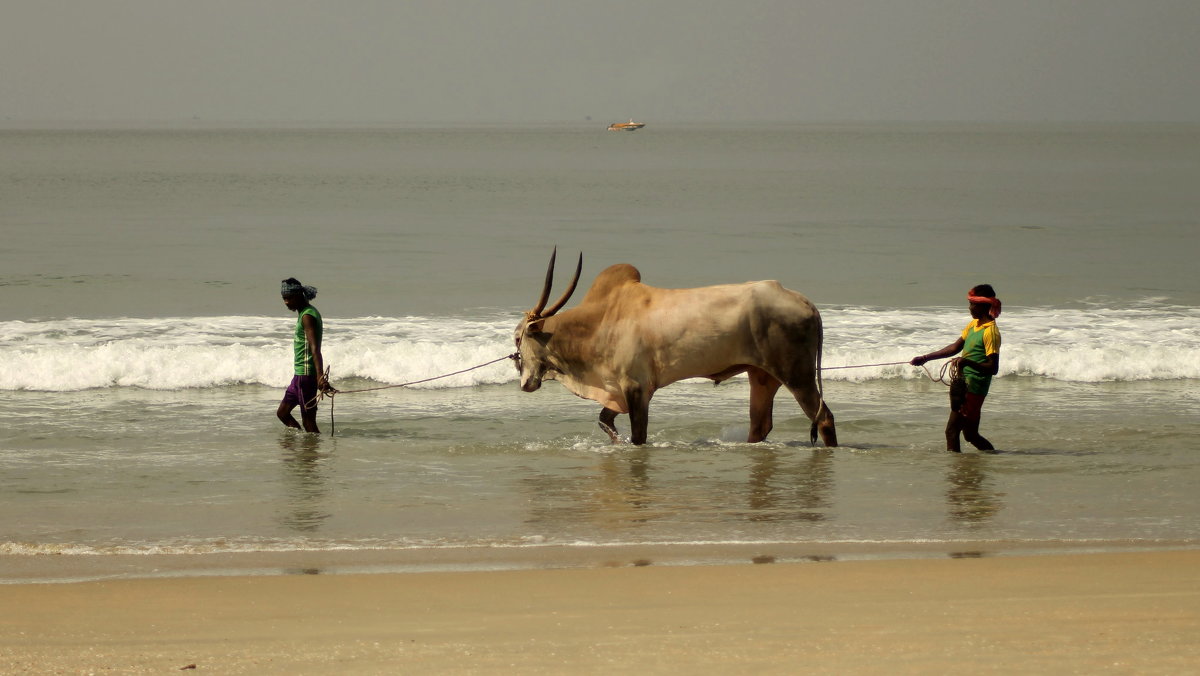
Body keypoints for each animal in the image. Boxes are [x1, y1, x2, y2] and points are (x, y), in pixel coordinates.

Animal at [511, 250, 840, 446]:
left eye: (516, 338)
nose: (525, 382)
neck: (600, 322)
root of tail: (804, 302)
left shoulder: (636, 388)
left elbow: (638, 437)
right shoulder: (620, 391)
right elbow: (605, 420)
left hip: (797, 375)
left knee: (823, 417)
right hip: (762, 376)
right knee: (760, 425)